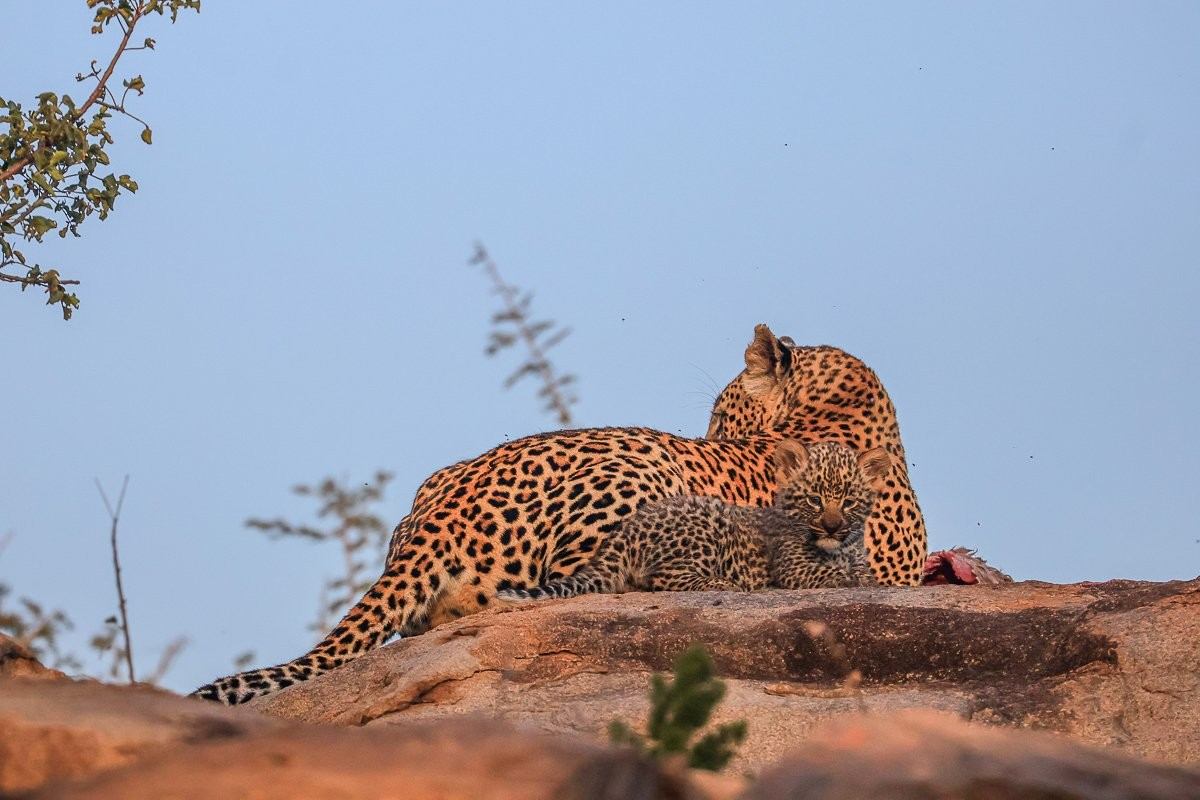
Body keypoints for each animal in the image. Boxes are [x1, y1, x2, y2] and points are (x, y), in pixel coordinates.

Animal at [495, 439, 888, 601]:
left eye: (849, 501)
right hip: (704, 531)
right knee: (661, 579)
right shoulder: (794, 569)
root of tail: (626, 532)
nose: (832, 527)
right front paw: (859, 580)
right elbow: (834, 575)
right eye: (815, 499)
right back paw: (722, 584)